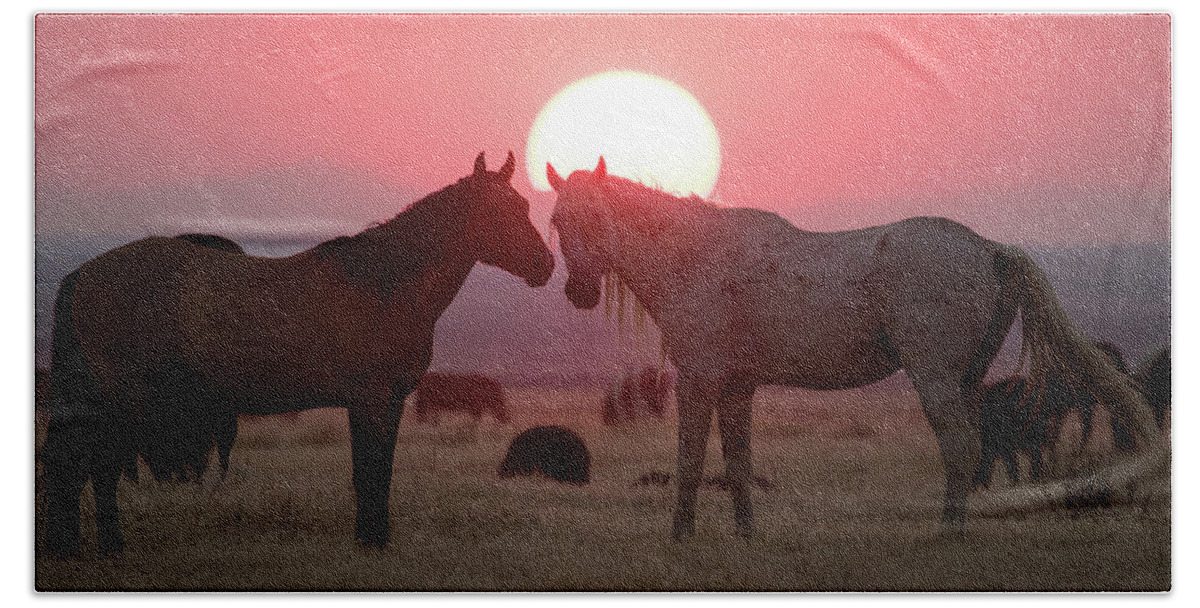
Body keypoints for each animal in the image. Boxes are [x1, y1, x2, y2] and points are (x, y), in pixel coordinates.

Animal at [39, 153, 554, 556]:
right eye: (498, 210)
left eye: (524, 206)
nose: (545, 266)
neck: (385, 285)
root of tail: (83, 273)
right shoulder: (371, 401)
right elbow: (370, 472)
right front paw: (372, 542)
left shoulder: (386, 403)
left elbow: (377, 471)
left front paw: (372, 538)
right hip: (119, 401)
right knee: (98, 469)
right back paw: (111, 547)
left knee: (69, 465)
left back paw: (69, 547)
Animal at [549, 158, 1161, 542]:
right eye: (557, 218)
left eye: (594, 215)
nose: (578, 292)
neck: (694, 257)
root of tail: (988, 249)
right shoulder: (736, 384)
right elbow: (737, 459)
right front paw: (746, 533)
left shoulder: (699, 378)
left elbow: (691, 459)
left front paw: (681, 537)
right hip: (967, 380)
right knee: (973, 445)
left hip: (934, 377)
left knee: (960, 445)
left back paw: (949, 533)